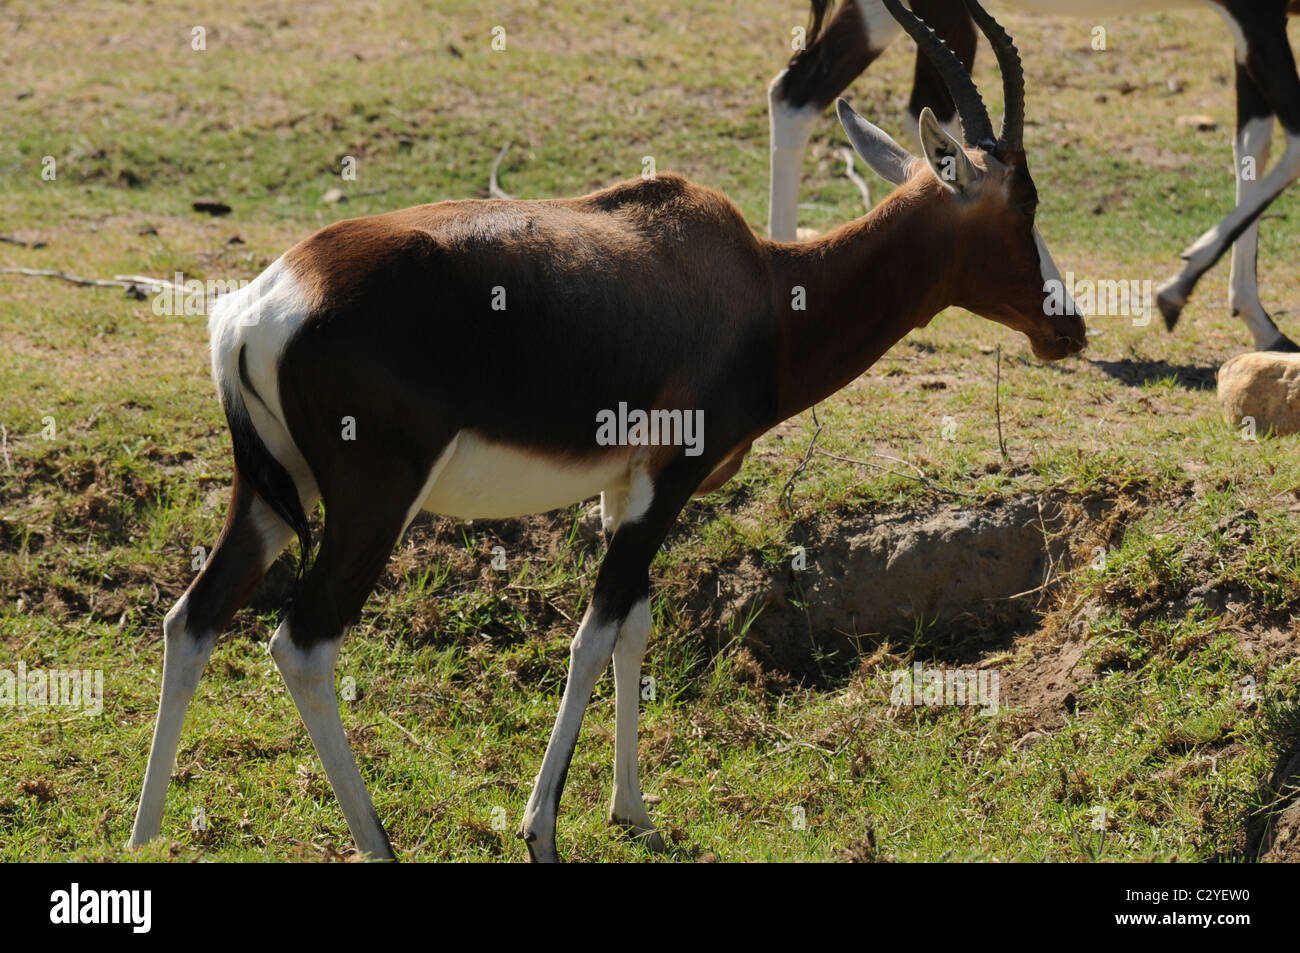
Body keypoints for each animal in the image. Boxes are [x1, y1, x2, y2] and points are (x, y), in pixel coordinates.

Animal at [129, 0, 1086, 863]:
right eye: (1022, 204)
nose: (1069, 328)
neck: (755, 284)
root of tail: (258, 305)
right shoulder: (667, 480)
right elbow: (595, 630)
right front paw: (541, 829)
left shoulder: (625, 486)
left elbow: (635, 625)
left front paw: (634, 811)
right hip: (372, 504)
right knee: (302, 642)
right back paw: (378, 842)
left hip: (266, 496)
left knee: (192, 618)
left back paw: (144, 837)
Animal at [764, 0, 1300, 348]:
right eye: (1027, 205)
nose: (1073, 326)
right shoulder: (1258, 14)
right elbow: (1292, 143)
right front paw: (1178, 291)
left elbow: (1252, 146)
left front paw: (1257, 320)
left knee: (796, 93)